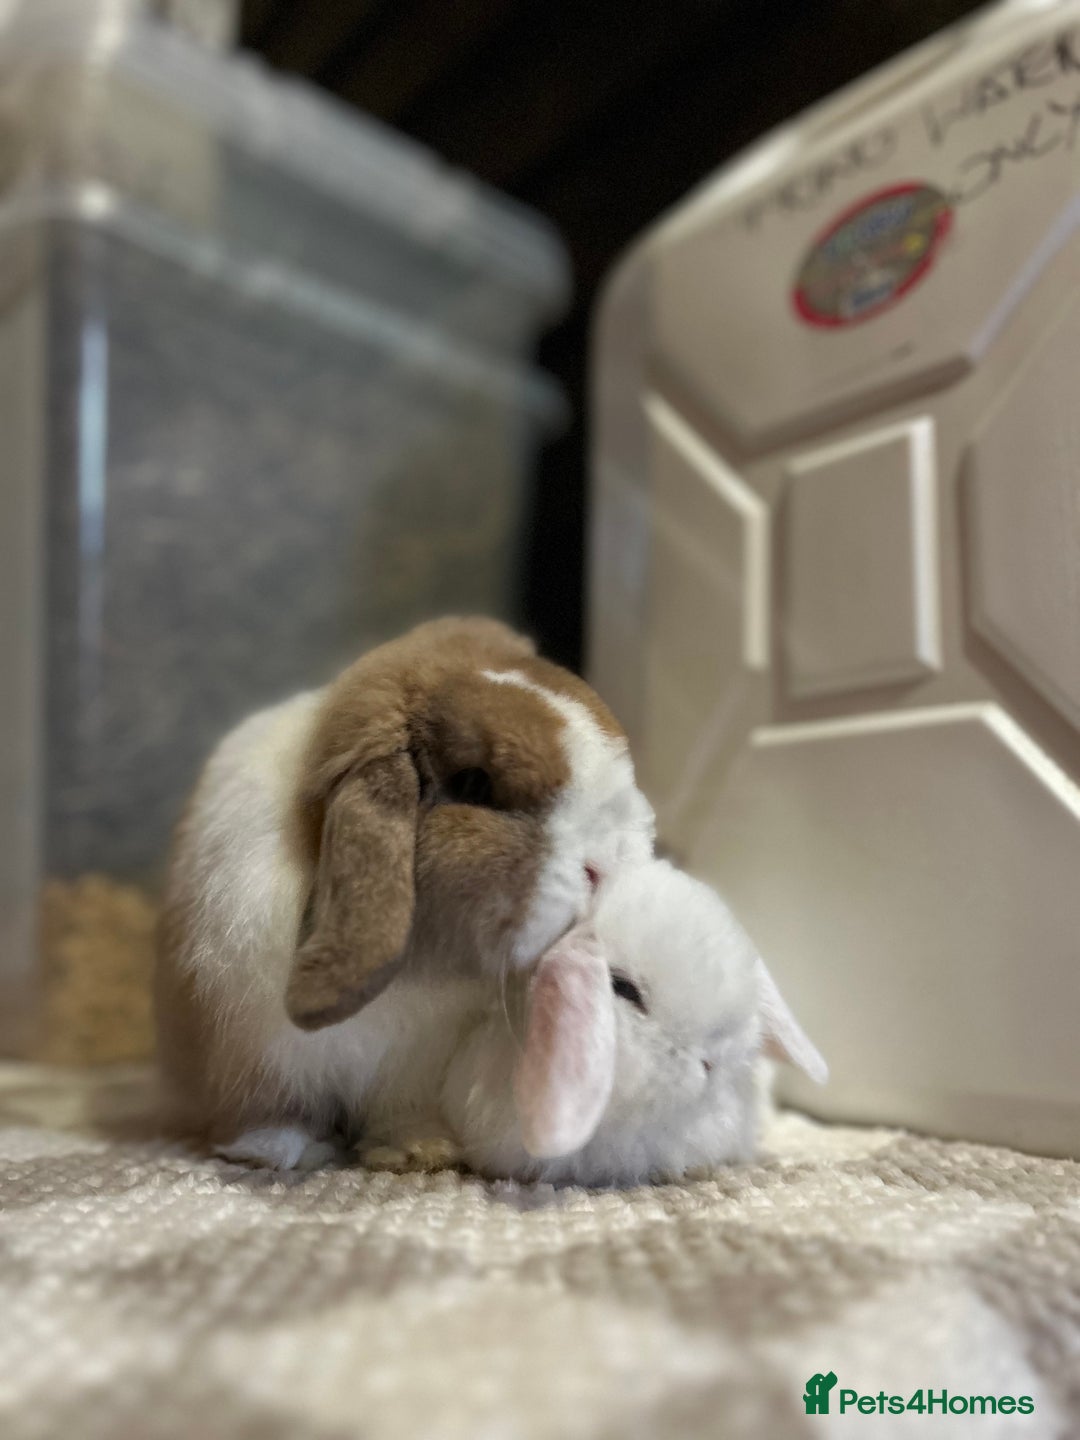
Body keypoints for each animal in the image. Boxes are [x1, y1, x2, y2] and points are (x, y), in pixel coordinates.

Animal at [154, 616, 656, 1169]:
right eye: (475, 785)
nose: (602, 868)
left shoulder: (418, 1068)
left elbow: (403, 1110)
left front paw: (420, 1151)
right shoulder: (250, 1051)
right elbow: (271, 1109)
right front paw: (278, 1151)